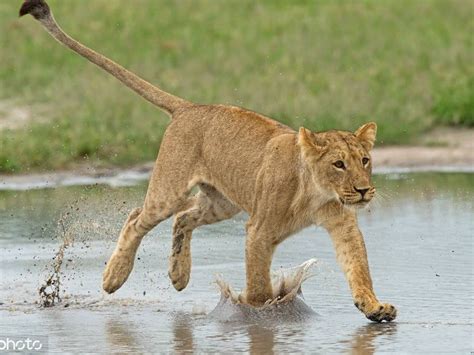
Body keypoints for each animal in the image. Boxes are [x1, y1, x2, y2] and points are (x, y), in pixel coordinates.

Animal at [19, 0, 396, 322]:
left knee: (183, 218)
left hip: (222, 202)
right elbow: (257, 280)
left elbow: (358, 267)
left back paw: (178, 275)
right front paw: (258, 312)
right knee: (137, 217)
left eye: (365, 160)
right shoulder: (259, 230)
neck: (317, 193)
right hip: (169, 190)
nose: (364, 191)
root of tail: (189, 106)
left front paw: (374, 307)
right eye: (338, 164)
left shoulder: (342, 225)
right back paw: (114, 277)